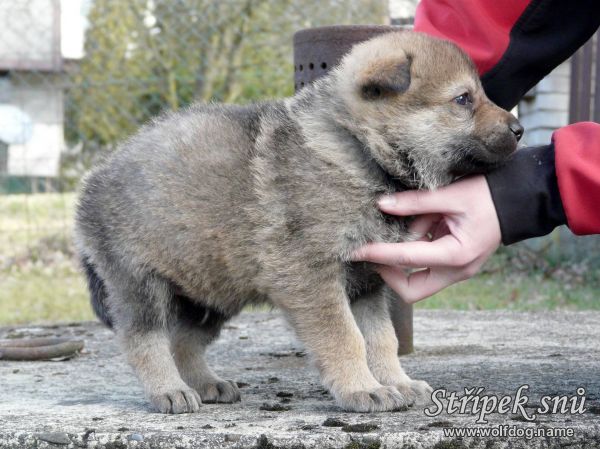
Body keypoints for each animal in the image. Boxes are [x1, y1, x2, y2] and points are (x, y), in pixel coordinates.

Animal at [75, 31, 524, 412]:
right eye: (463, 99)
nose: (519, 129)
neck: (360, 151)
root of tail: (92, 181)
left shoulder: (367, 281)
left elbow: (381, 338)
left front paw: (396, 381)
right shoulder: (313, 277)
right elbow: (345, 337)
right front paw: (362, 389)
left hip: (209, 288)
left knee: (185, 341)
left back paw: (205, 383)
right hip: (140, 283)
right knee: (145, 339)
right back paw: (169, 390)